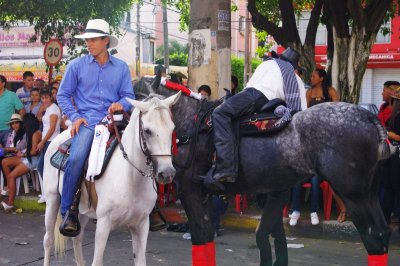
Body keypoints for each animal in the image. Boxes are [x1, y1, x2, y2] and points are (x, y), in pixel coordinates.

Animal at [41, 92, 180, 264]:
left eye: (172, 129)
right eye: (147, 131)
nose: (167, 173)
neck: (130, 179)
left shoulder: (141, 225)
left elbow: (140, 261)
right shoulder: (103, 224)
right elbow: (97, 262)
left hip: (84, 210)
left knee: (77, 239)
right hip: (52, 199)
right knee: (48, 240)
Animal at [136, 78, 396, 264]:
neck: (191, 124)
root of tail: (368, 116)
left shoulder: (189, 191)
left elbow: (200, 238)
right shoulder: (204, 195)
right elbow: (207, 238)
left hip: (353, 195)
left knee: (373, 237)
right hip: (368, 193)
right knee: (382, 234)